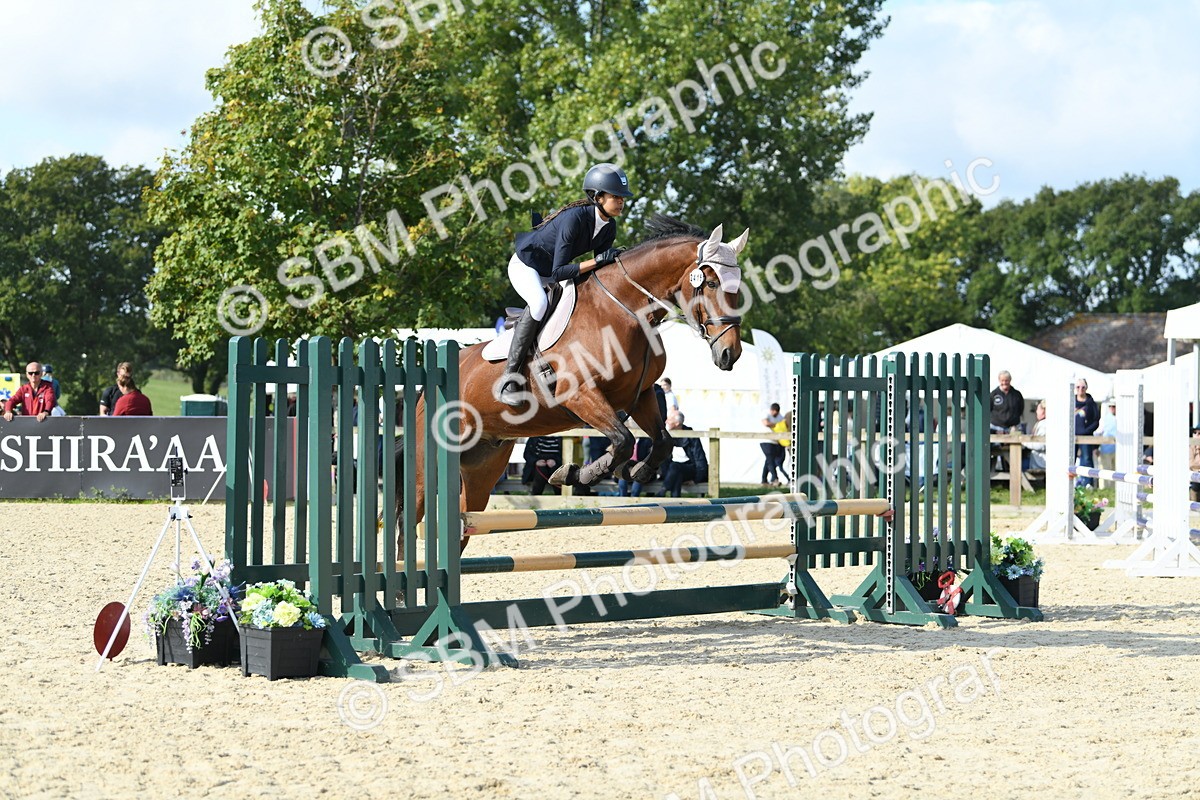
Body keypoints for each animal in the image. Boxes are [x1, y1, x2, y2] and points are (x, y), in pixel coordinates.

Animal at [398, 215, 749, 552]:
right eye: (712, 282)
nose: (729, 353)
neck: (625, 309)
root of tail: (424, 387)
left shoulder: (639, 395)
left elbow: (661, 441)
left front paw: (634, 473)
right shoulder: (579, 395)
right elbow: (622, 440)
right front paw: (572, 473)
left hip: (482, 466)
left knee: (463, 521)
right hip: (428, 461)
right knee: (410, 514)